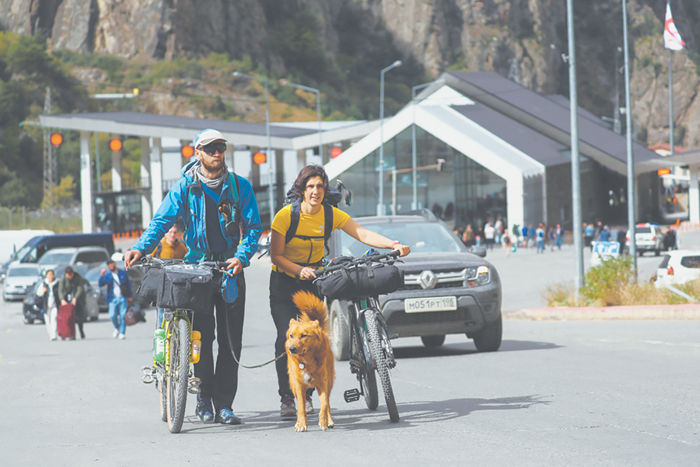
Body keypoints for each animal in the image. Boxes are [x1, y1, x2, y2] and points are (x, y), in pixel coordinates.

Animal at [288, 290, 336, 434]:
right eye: (291, 336)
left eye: (303, 335)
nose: (291, 349)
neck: (306, 361)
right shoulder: (298, 385)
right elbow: (301, 407)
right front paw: (301, 425)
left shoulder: (323, 383)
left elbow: (325, 403)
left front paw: (323, 422)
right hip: (293, 385)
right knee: (301, 405)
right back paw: (298, 422)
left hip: (330, 381)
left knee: (328, 403)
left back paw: (329, 421)